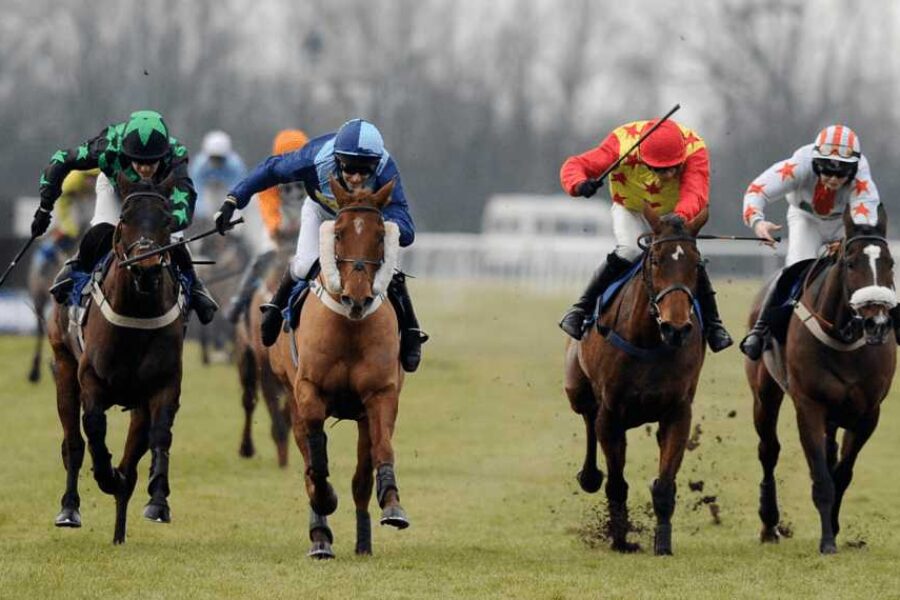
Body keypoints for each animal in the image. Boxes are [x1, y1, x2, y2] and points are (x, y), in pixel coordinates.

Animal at [47, 175, 186, 544]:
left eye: (167, 220)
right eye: (125, 218)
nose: (146, 268)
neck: (137, 312)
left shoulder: (162, 384)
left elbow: (160, 435)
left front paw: (158, 501)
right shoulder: (91, 380)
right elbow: (93, 429)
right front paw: (105, 475)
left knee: (132, 458)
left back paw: (120, 527)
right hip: (63, 367)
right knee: (73, 443)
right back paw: (69, 509)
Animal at [267, 177, 408, 559]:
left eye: (380, 234)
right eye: (339, 233)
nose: (356, 298)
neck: (349, 327)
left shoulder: (379, 394)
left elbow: (382, 451)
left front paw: (392, 504)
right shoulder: (308, 390)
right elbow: (315, 458)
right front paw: (325, 501)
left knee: (361, 477)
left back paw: (362, 541)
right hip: (291, 395)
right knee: (308, 459)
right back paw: (320, 537)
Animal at [564, 203, 709, 556]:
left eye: (696, 263)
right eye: (655, 260)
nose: (676, 328)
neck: (648, 339)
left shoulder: (678, 412)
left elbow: (665, 484)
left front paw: (663, 543)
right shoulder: (611, 413)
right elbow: (617, 483)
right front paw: (619, 538)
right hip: (576, 389)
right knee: (587, 417)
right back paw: (589, 476)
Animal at [746, 204, 896, 554]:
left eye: (890, 263)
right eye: (850, 263)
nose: (877, 323)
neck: (843, 337)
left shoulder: (868, 414)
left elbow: (841, 473)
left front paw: (835, 528)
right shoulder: (809, 406)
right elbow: (822, 477)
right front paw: (827, 541)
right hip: (764, 392)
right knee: (768, 449)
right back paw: (769, 524)